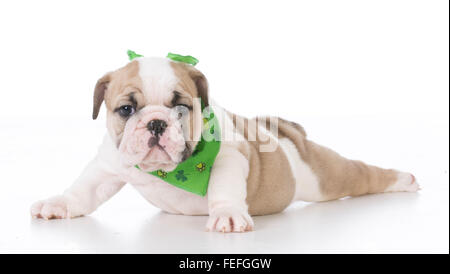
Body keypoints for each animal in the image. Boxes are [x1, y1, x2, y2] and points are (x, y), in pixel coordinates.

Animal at [29, 56, 420, 232]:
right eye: (126, 109)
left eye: (180, 107)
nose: (156, 122)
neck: (171, 171)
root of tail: (283, 132)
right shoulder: (108, 164)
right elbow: (84, 189)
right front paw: (59, 203)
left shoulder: (231, 158)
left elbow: (224, 189)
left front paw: (227, 214)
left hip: (326, 177)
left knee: (361, 174)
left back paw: (404, 179)